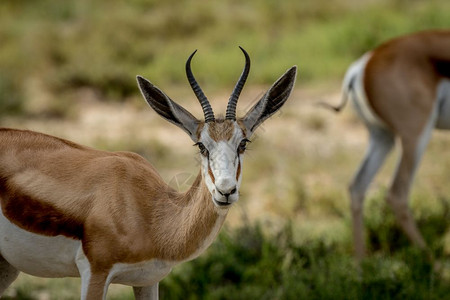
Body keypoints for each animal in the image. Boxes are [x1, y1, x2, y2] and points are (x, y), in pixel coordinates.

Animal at [0, 48, 298, 298]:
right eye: (201, 145)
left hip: (7, 267)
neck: (153, 217)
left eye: (243, 143)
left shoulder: (148, 281)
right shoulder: (95, 272)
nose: (225, 190)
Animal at [322, 29, 450, 260]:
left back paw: (362, 268)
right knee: (397, 194)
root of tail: (363, 64)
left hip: (382, 137)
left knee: (357, 186)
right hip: (416, 134)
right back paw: (434, 266)